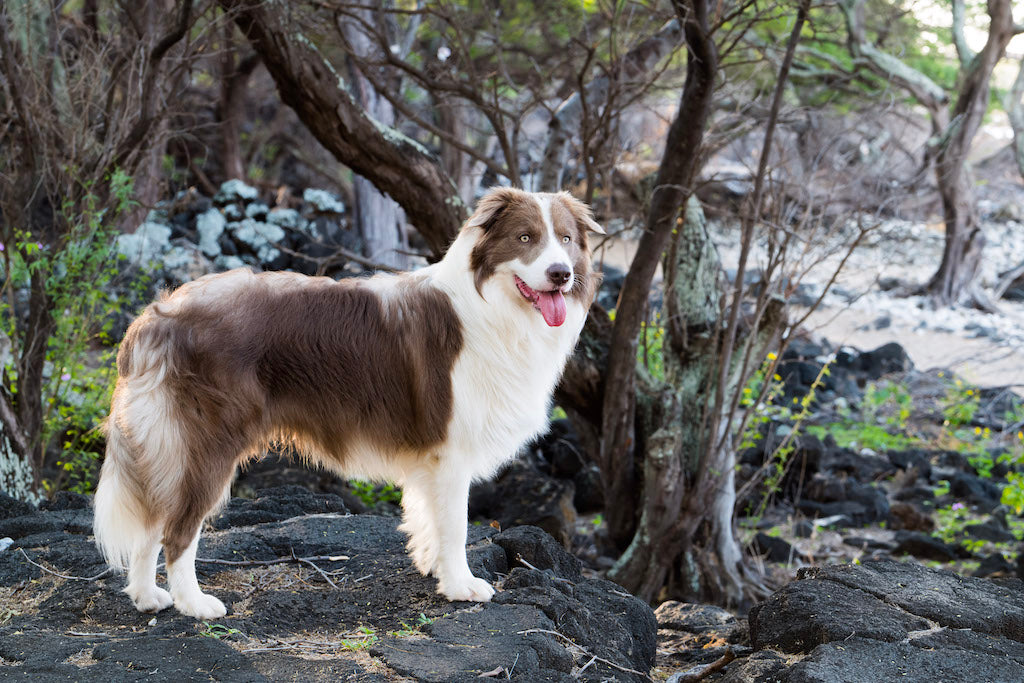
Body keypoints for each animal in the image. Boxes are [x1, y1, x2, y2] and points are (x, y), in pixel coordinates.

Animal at [92, 187, 602, 618]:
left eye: (566, 239)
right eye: (525, 238)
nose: (561, 273)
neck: (492, 306)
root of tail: (159, 315)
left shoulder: (431, 459)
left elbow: (428, 518)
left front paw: (434, 568)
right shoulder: (450, 450)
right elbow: (455, 525)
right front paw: (461, 585)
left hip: (168, 447)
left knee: (152, 520)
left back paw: (147, 596)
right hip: (207, 443)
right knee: (178, 530)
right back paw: (194, 604)